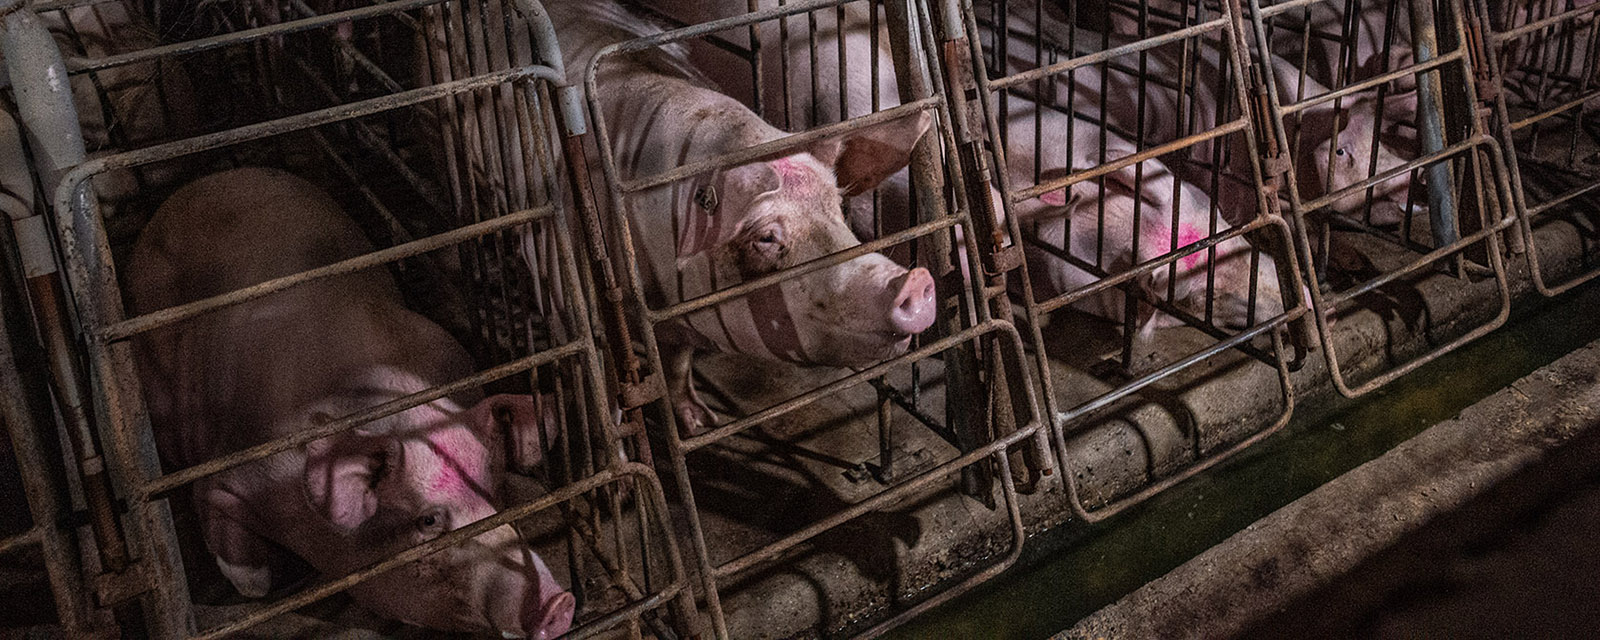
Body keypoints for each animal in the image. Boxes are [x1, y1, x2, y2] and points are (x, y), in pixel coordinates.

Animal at [128, 168, 574, 638]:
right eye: (428, 521)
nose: (559, 604)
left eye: (496, 489)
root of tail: (204, 182)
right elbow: (221, 526)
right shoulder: (232, 467)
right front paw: (256, 583)